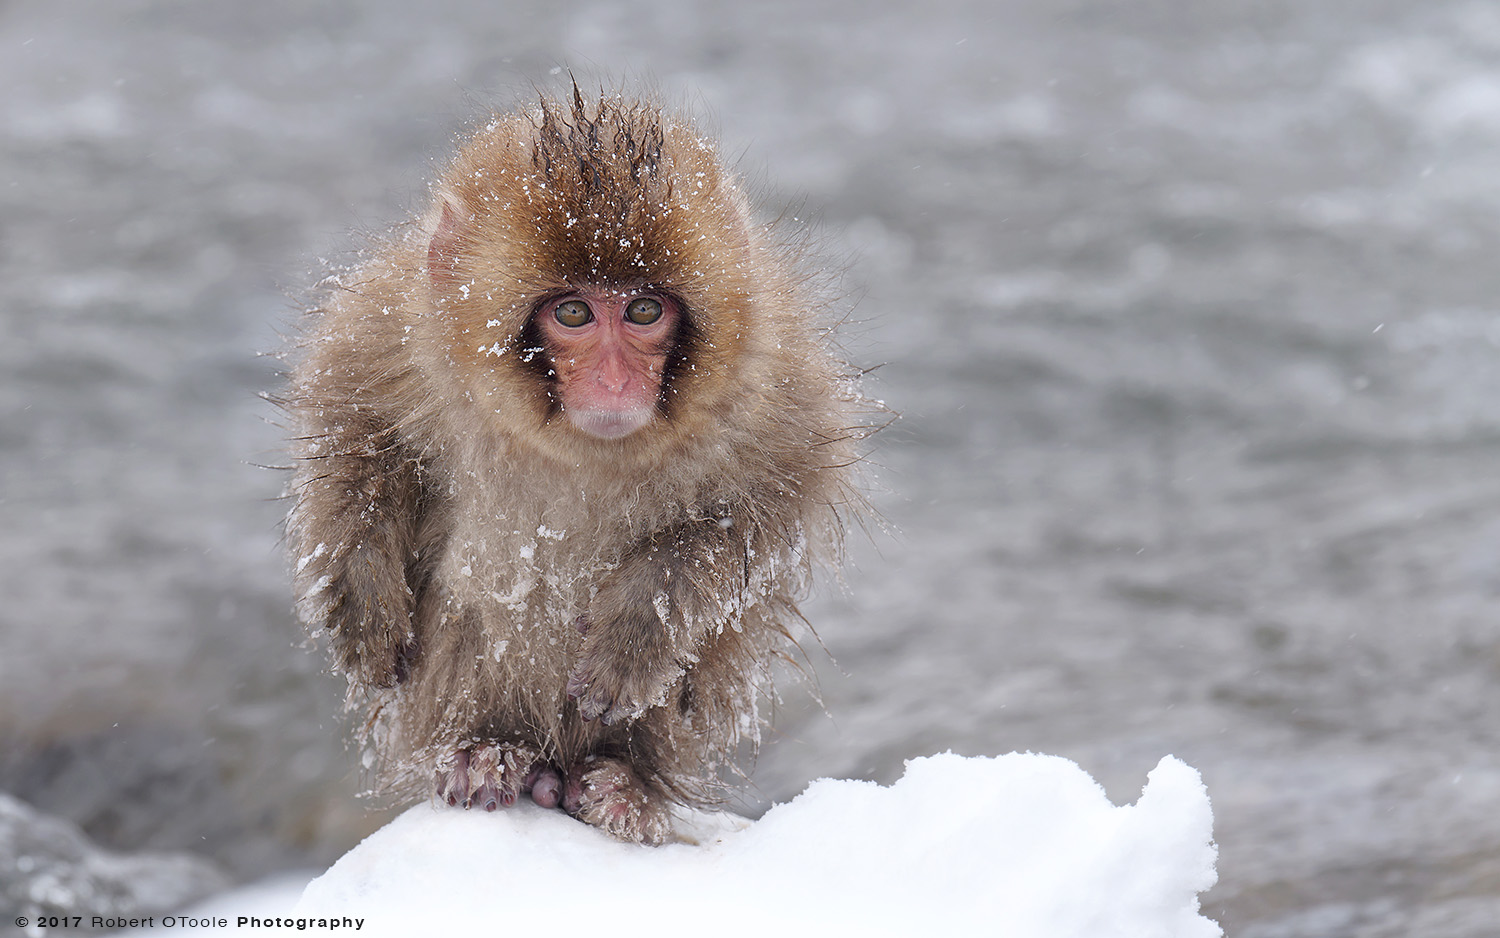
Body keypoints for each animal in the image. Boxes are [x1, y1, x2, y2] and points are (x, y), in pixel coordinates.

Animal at [283, 87, 870, 846]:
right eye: (572, 313)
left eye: (644, 309)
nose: (615, 383)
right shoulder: (395, 328)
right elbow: (354, 430)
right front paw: (364, 598)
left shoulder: (772, 379)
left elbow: (767, 506)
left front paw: (640, 632)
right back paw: (489, 749)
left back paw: (625, 780)